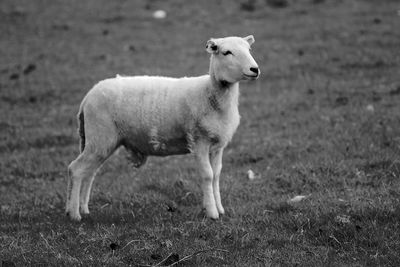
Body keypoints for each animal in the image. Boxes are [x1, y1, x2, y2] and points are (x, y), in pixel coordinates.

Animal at [65, 35, 260, 222]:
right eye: (227, 52)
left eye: (249, 49)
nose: (255, 69)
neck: (210, 94)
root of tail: (88, 96)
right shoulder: (199, 141)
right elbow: (208, 175)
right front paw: (212, 213)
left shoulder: (218, 145)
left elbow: (217, 175)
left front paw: (219, 208)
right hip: (100, 136)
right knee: (76, 169)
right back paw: (74, 214)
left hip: (101, 141)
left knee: (90, 173)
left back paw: (83, 209)